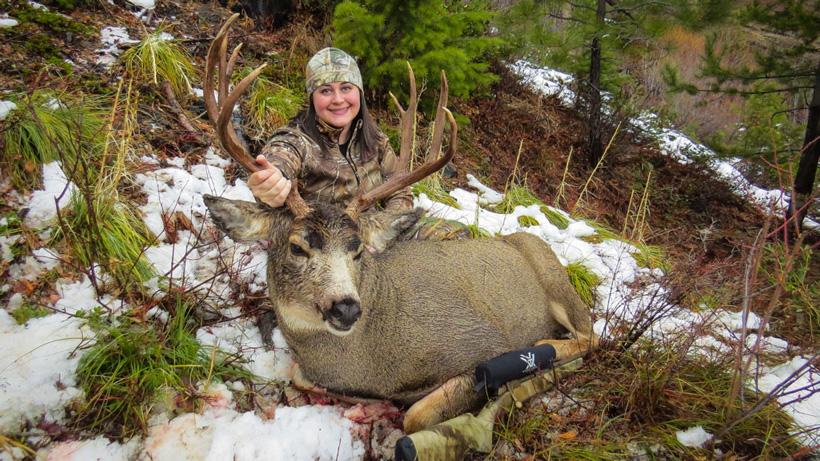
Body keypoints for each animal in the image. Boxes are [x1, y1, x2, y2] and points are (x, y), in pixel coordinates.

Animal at [201, 14, 596, 433]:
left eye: (358, 249)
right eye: (297, 246)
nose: (346, 308)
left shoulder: (486, 344)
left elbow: (416, 416)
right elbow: (299, 376)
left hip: (555, 279)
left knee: (591, 335)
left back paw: (544, 349)